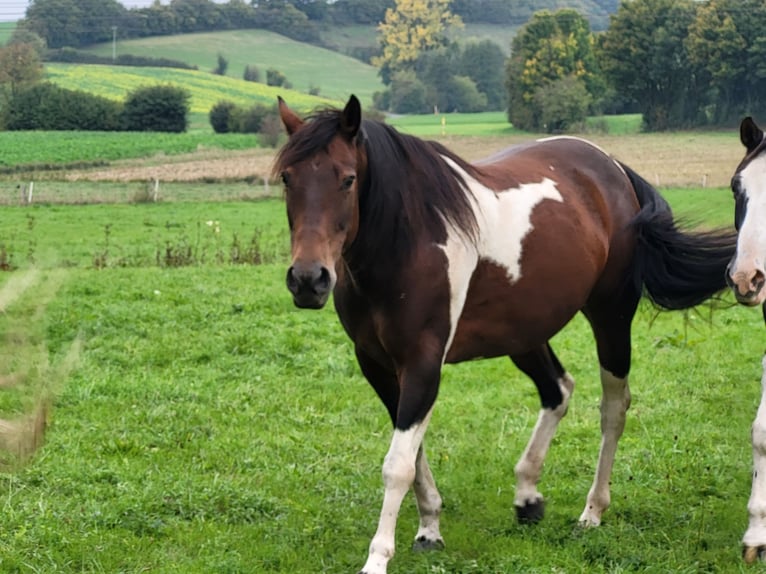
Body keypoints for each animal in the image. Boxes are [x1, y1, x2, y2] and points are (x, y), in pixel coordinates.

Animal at [275, 94, 737, 574]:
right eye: (287, 178)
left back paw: (592, 511)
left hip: (610, 317)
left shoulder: (423, 363)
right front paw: (429, 529)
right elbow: (414, 454)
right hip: (524, 333)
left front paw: (378, 557)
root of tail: (613, 169)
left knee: (613, 408)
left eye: (347, 179)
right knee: (558, 389)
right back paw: (528, 495)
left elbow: (398, 463)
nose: (308, 280)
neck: (407, 241)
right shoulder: (377, 365)